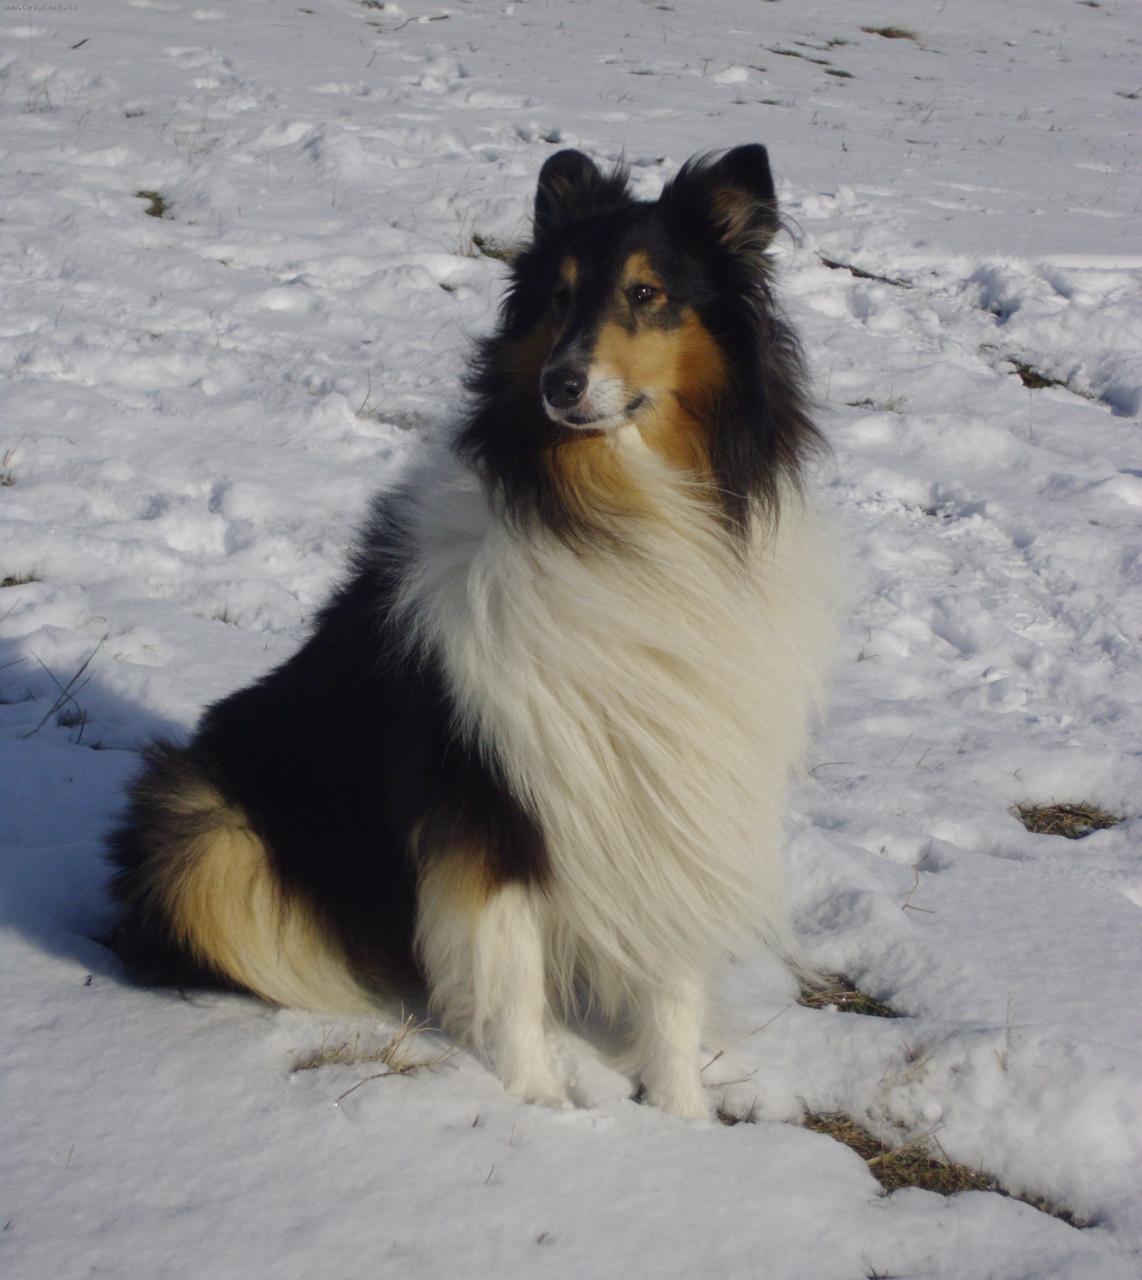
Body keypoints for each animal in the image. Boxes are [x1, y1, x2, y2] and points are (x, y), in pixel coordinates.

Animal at [108, 145, 835, 1119]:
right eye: (559, 295)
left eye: (646, 293)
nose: (560, 384)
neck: (618, 516)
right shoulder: (485, 791)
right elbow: (512, 967)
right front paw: (540, 1112)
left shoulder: (676, 778)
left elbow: (669, 977)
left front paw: (681, 1119)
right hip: (201, 829)